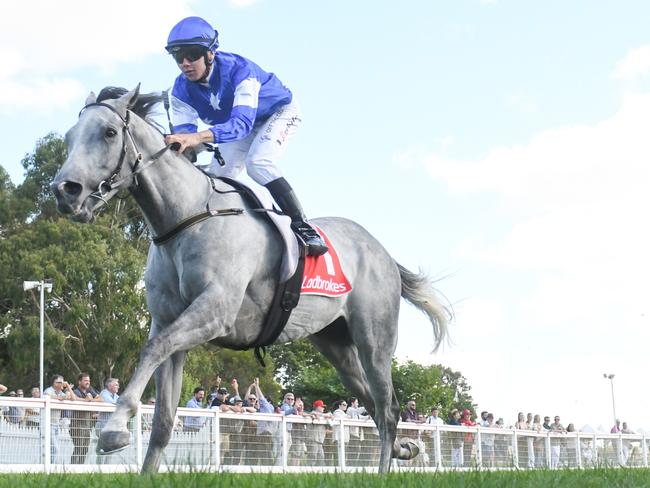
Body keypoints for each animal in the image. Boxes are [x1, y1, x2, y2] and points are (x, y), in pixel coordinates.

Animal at [50, 85, 448, 472]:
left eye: (109, 132)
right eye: (70, 136)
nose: (64, 191)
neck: (187, 219)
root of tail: (383, 253)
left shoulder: (215, 311)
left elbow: (151, 349)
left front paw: (114, 429)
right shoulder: (169, 321)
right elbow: (163, 416)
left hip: (374, 339)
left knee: (387, 408)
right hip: (336, 345)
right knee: (374, 405)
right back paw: (404, 448)